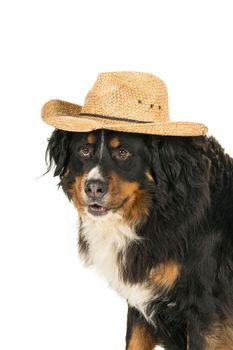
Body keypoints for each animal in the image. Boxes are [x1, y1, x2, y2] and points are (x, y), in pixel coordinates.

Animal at [45, 129, 233, 350]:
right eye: (84, 150)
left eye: (123, 152)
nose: (93, 188)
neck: (159, 211)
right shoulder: (140, 299)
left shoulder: (205, 309)